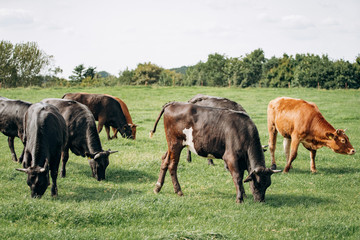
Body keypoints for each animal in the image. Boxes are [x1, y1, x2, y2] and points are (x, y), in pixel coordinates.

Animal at [150, 102, 280, 203]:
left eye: (268, 184)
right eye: (257, 184)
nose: (261, 200)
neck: (244, 133)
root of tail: (172, 103)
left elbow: (242, 177)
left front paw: (243, 194)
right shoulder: (231, 158)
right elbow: (237, 177)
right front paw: (239, 198)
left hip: (172, 145)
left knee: (164, 161)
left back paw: (157, 187)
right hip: (176, 144)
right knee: (172, 165)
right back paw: (178, 191)